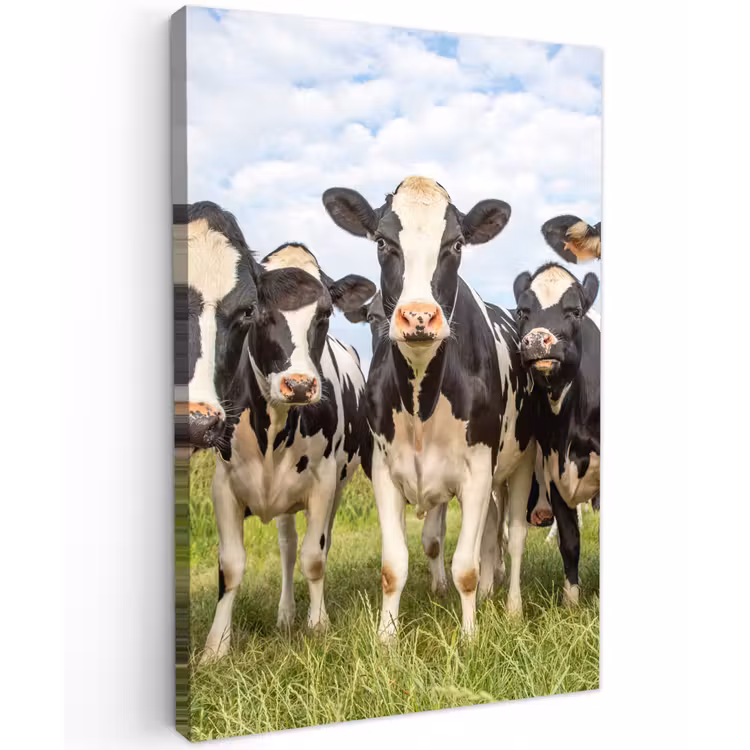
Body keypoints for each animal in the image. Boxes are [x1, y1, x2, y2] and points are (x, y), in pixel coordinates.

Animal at [177, 202, 376, 661]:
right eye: (260, 313)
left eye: (325, 313)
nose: (299, 385)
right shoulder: (223, 486)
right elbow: (231, 565)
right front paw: (216, 645)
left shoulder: (324, 482)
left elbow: (314, 557)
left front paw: (318, 625)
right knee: (286, 546)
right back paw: (285, 614)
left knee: (312, 544)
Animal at [322, 176, 536, 640]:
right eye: (383, 241)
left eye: (455, 244)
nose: (419, 317)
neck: (422, 398)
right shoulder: (384, 470)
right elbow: (394, 566)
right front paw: (386, 638)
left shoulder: (478, 471)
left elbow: (466, 567)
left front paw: (470, 637)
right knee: (488, 532)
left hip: (522, 462)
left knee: (514, 534)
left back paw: (511, 606)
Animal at [513, 261, 600, 606]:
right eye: (522, 312)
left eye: (575, 311)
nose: (537, 341)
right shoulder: (553, 472)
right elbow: (570, 541)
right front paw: (571, 602)